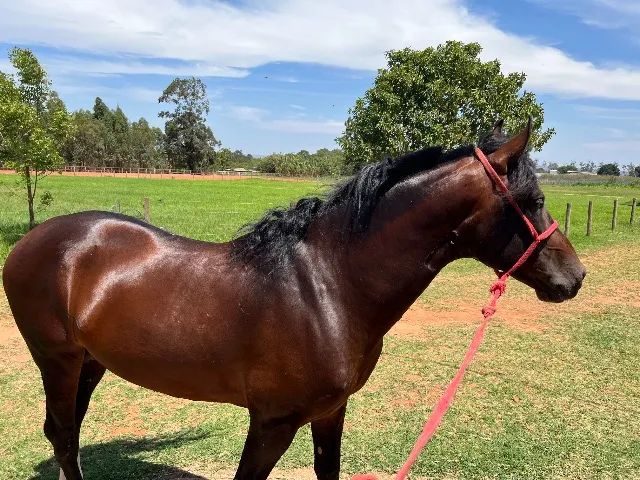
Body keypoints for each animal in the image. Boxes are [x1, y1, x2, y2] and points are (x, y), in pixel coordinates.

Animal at [3, 120, 586, 480]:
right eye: (534, 199)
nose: (574, 277)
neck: (328, 286)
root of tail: (31, 240)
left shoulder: (330, 412)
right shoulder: (273, 422)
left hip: (91, 363)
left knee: (65, 435)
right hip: (57, 361)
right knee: (62, 435)